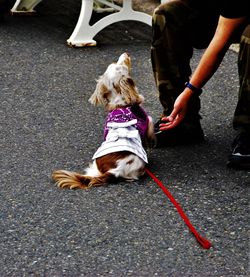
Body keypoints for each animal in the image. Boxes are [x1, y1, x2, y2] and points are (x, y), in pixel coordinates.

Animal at [52, 52, 154, 189]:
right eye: (121, 65)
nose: (125, 53)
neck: (121, 102)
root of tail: (116, 171)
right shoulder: (146, 120)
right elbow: (151, 123)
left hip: (95, 169)